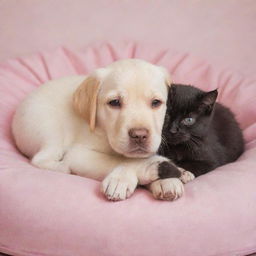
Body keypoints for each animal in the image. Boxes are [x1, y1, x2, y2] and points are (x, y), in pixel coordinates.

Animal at [12, 59, 184, 201]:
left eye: (156, 102)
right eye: (114, 102)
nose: (139, 135)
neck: (105, 131)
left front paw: (168, 180)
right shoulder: (79, 154)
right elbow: (123, 160)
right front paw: (122, 179)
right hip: (50, 130)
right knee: (40, 159)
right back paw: (64, 168)